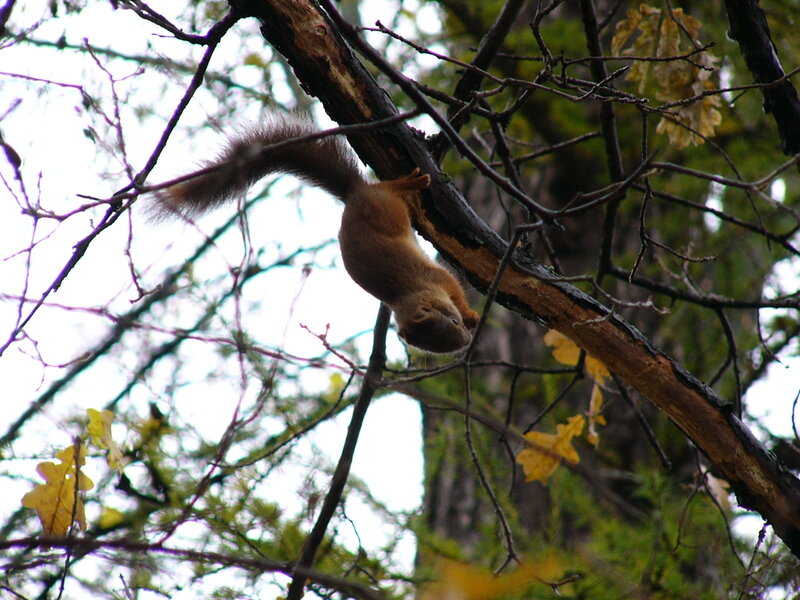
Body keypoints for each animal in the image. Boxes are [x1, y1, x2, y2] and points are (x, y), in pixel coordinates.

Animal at [153, 115, 479, 353]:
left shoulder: (437, 278)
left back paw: (411, 182)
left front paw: (472, 316)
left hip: (383, 203)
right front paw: (473, 317)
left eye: (453, 321)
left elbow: (456, 287)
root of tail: (353, 194)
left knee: (385, 187)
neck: (409, 294)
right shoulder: (434, 280)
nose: (465, 344)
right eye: (436, 346)